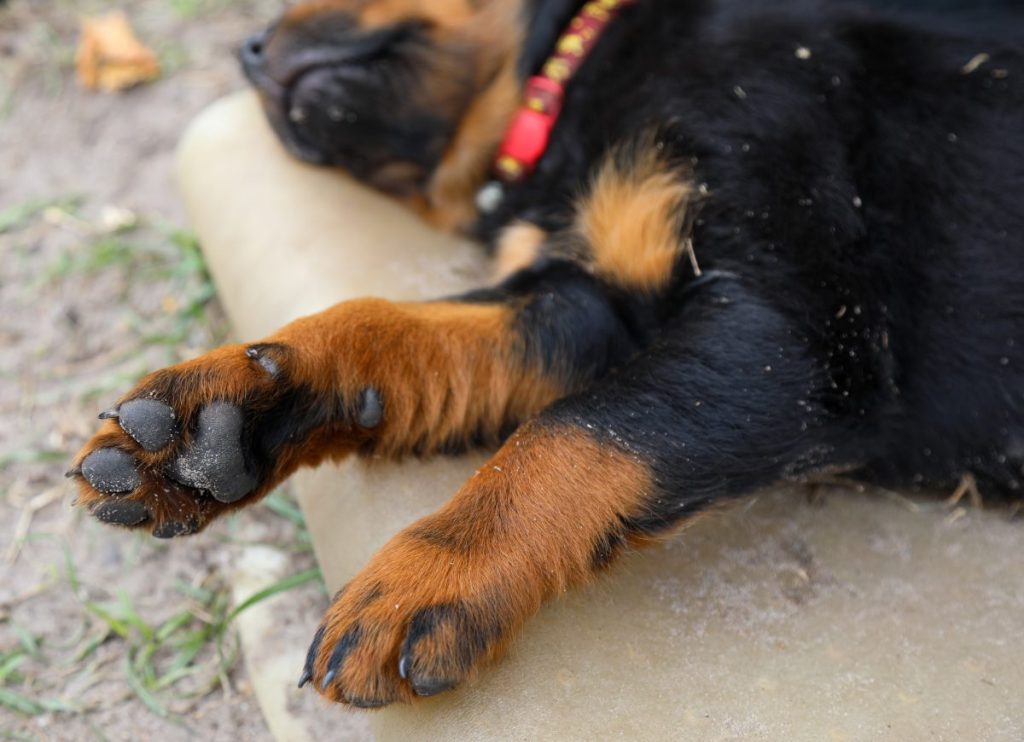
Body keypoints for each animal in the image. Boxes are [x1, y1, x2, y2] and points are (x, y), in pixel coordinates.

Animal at [68, 0, 1019, 708]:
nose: (248, 50)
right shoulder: (583, 305)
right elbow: (391, 327)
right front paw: (218, 420)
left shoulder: (809, 335)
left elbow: (578, 433)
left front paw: (430, 570)